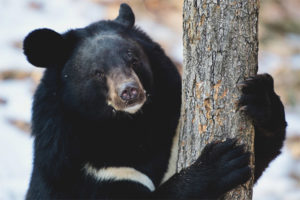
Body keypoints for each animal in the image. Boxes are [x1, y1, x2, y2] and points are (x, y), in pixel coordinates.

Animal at [23, 3, 286, 200]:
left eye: (134, 59)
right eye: (97, 72)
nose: (129, 91)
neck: (128, 125)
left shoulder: (172, 125)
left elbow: (259, 154)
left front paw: (259, 97)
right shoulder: (82, 171)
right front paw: (221, 163)